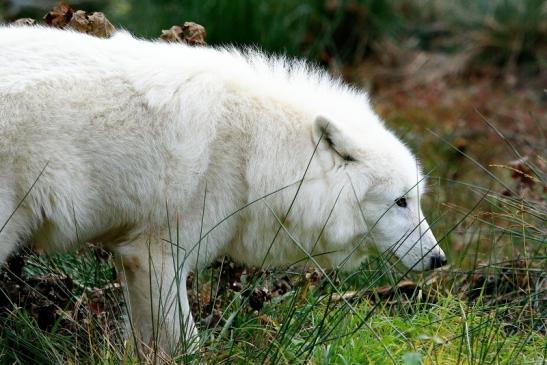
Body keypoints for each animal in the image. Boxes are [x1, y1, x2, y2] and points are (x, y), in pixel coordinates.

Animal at [0, 26, 446, 352]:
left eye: (416, 200)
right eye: (400, 202)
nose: (440, 259)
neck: (256, 148)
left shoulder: (131, 258)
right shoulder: (158, 254)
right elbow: (186, 343)